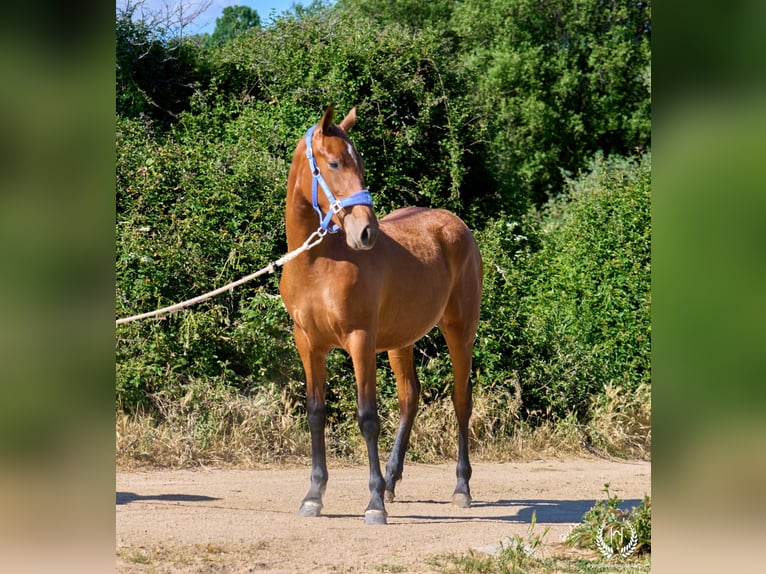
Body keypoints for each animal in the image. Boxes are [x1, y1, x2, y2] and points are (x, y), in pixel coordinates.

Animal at [278, 105, 483, 525]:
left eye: (360, 164)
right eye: (334, 163)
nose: (366, 232)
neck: (318, 264)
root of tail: (456, 225)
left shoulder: (360, 340)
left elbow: (368, 417)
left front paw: (373, 503)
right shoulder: (308, 343)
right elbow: (316, 413)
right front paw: (314, 496)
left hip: (460, 331)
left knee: (460, 400)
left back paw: (461, 487)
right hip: (401, 341)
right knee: (410, 397)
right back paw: (391, 481)